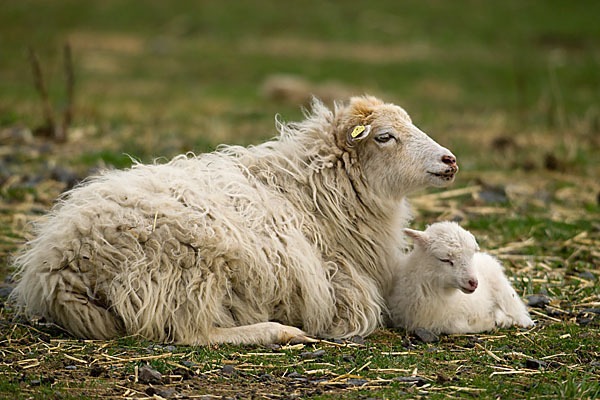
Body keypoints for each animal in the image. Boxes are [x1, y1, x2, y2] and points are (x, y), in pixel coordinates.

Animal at [10, 95, 460, 346]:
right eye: (384, 136)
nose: (450, 160)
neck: (311, 190)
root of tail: (57, 268)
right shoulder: (343, 288)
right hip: (188, 267)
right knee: (187, 333)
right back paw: (278, 332)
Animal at [390, 222, 536, 334]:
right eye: (445, 259)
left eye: (471, 256)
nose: (473, 282)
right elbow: (457, 326)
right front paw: (489, 321)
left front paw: (490, 321)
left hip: (501, 287)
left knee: (515, 307)